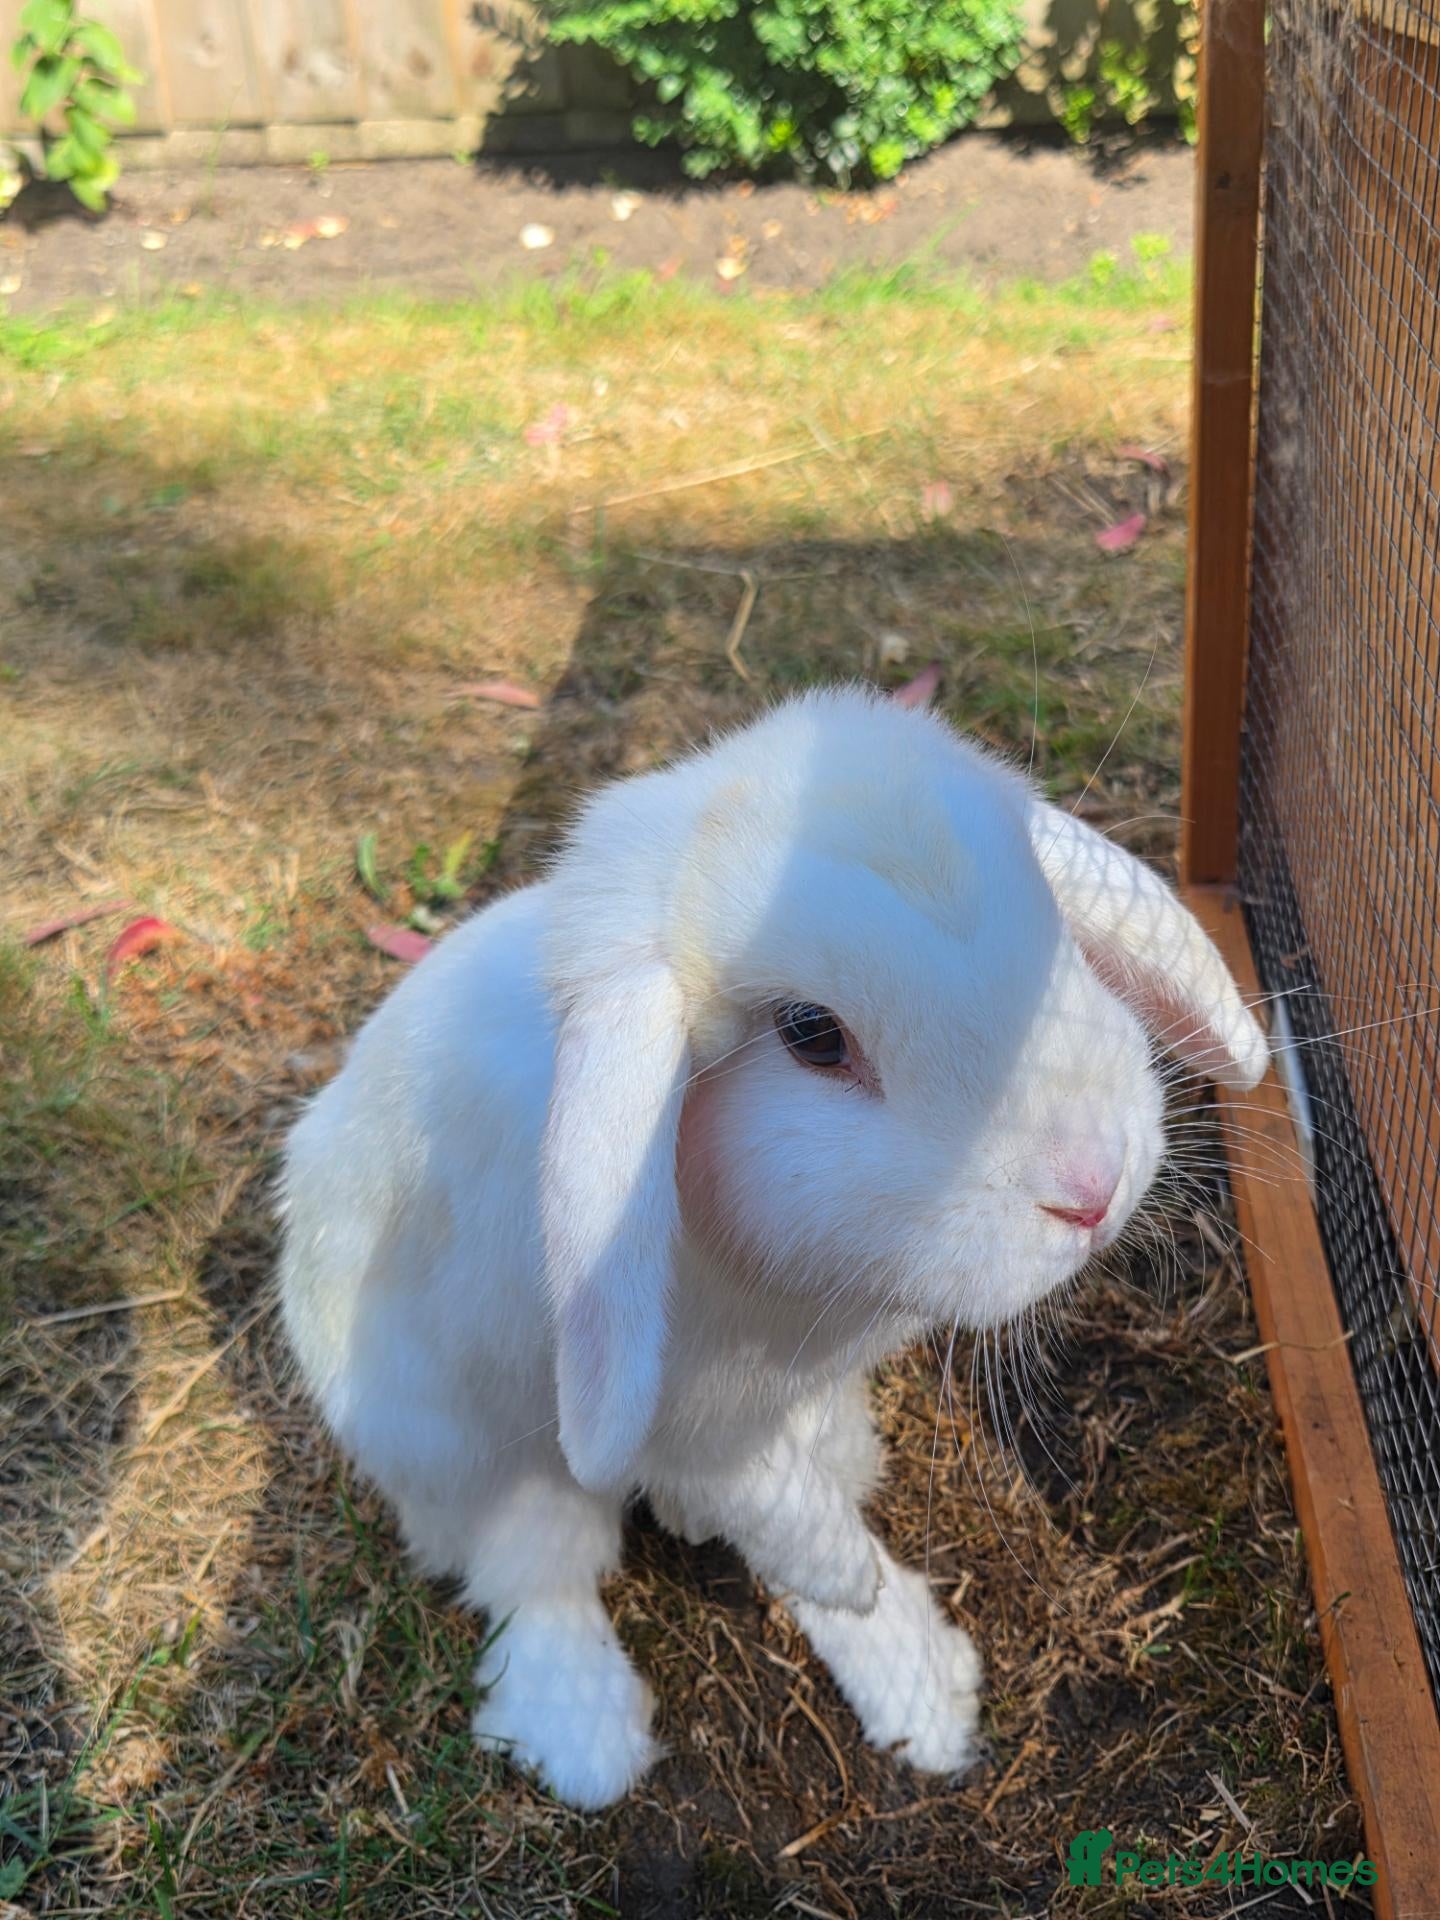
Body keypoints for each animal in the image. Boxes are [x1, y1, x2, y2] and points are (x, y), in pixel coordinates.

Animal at [279, 687, 1267, 1810]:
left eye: (1055, 934)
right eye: (812, 1035)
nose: (1094, 1186)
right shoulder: (691, 1420)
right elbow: (790, 1528)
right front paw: (855, 1584)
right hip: (464, 1459)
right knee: (538, 1573)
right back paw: (595, 1741)